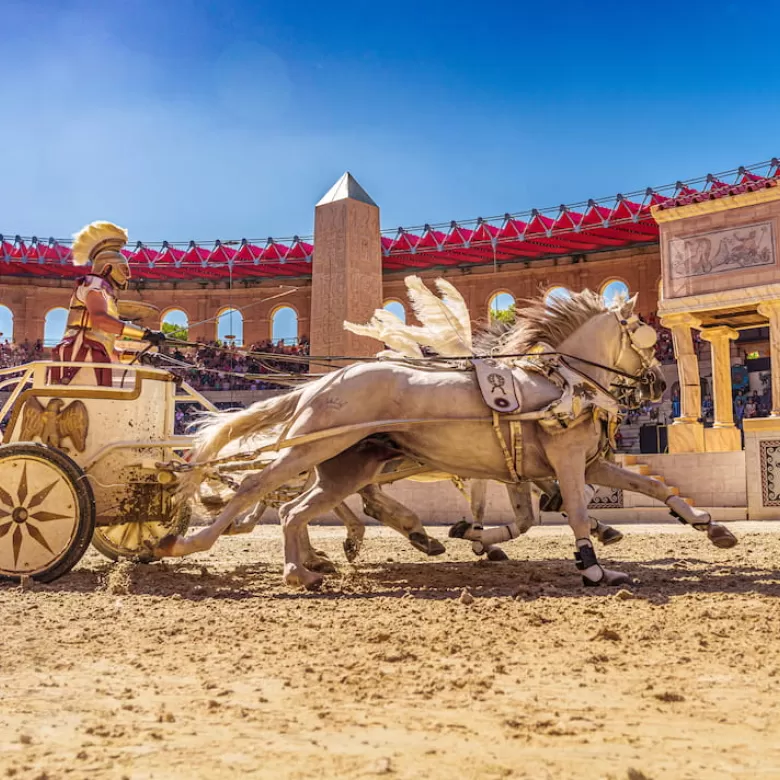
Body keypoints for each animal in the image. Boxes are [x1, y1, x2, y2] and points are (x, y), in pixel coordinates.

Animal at [154, 290, 736, 588]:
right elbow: (571, 509)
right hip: (312, 447)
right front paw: (591, 564)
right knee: (256, 488)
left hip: (348, 464)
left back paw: (307, 565)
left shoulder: (573, 464)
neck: (561, 382)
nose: (658, 384)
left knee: (298, 508)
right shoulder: (567, 461)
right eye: (646, 336)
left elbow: (653, 487)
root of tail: (322, 382)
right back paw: (188, 541)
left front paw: (710, 526)